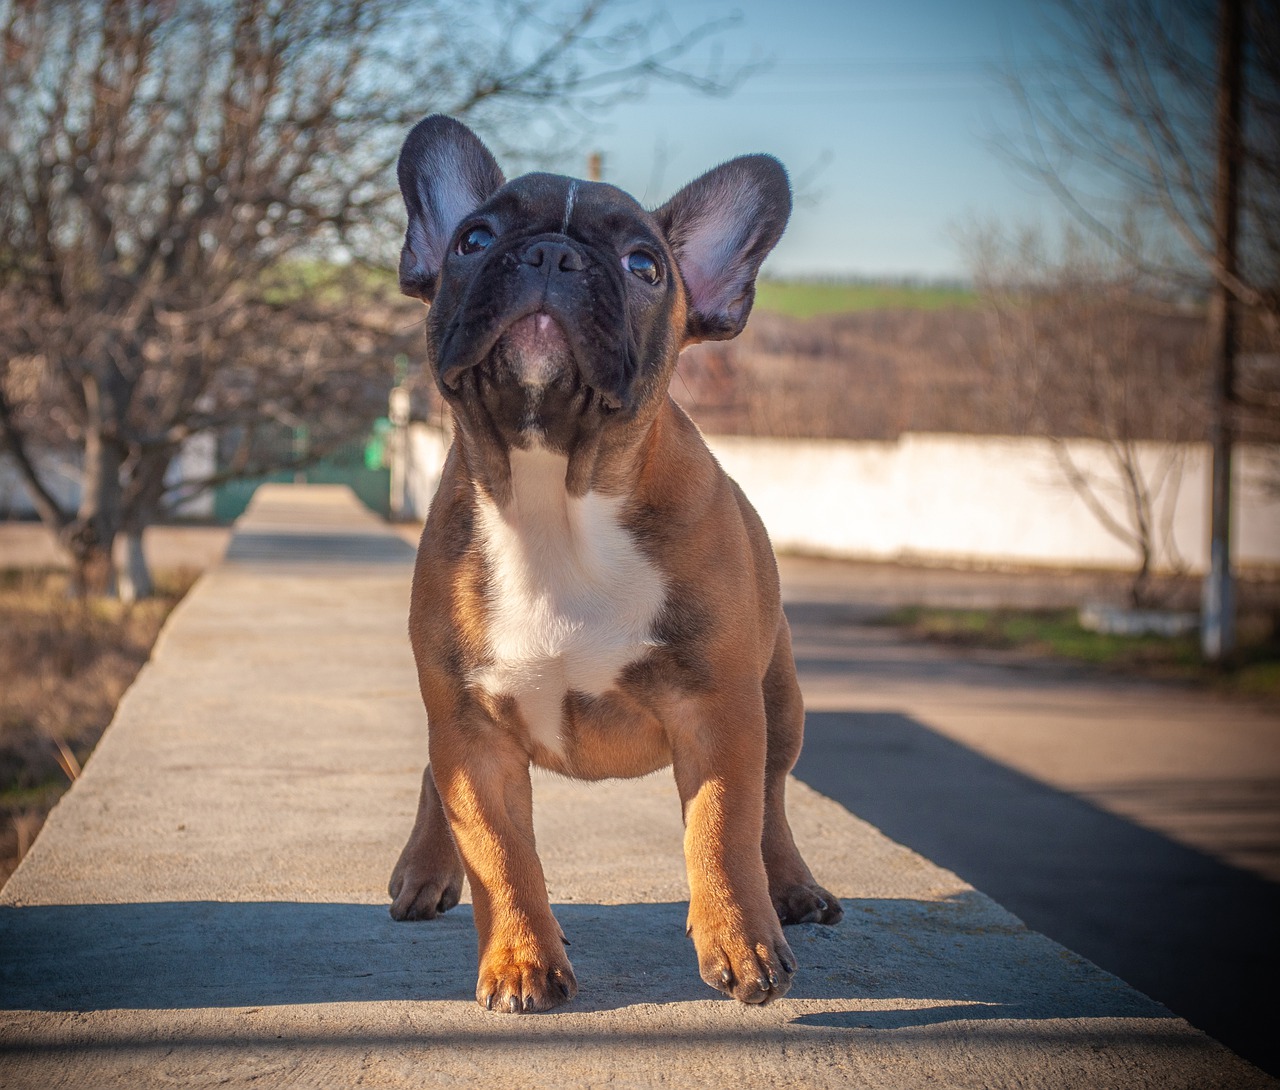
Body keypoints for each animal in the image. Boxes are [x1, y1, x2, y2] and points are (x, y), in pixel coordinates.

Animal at [386, 115, 839, 1008]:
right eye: (472, 239)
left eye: (644, 265)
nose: (549, 255)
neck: (553, 495)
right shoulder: (470, 728)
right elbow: (500, 854)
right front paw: (521, 961)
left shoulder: (718, 711)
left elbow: (723, 830)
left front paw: (741, 942)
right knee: (432, 779)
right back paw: (424, 869)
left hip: (781, 700)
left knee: (772, 801)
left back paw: (792, 889)